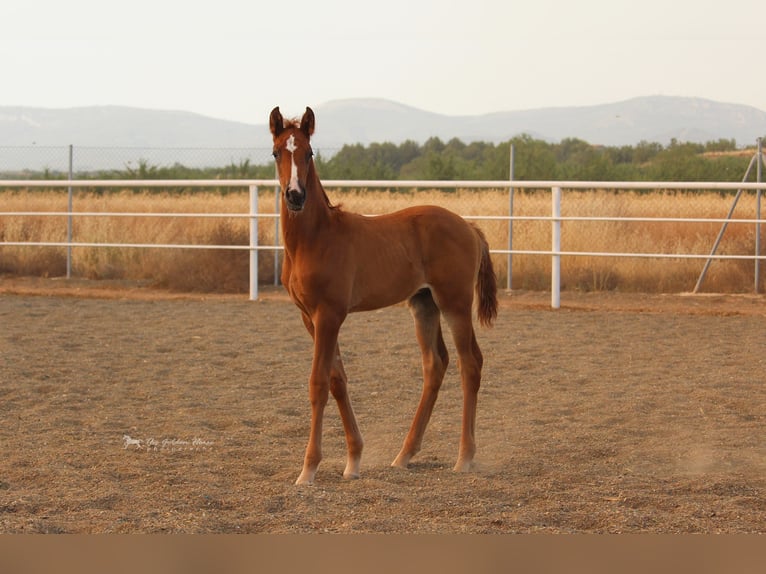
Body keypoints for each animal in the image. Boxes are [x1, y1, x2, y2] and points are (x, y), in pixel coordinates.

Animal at [270, 108, 498, 486]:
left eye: (309, 153)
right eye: (276, 153)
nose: (295, 196)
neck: (316, 239)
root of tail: (469, 226)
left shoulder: (329, 315)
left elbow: (318, 383)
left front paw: (309, 468)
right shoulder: (309, 317)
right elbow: (338, 380)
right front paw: (353, 461)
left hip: (455, 304)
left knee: (470, 363)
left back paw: (464, 457)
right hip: (423, 304)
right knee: (435, 364)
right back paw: (404, 455)